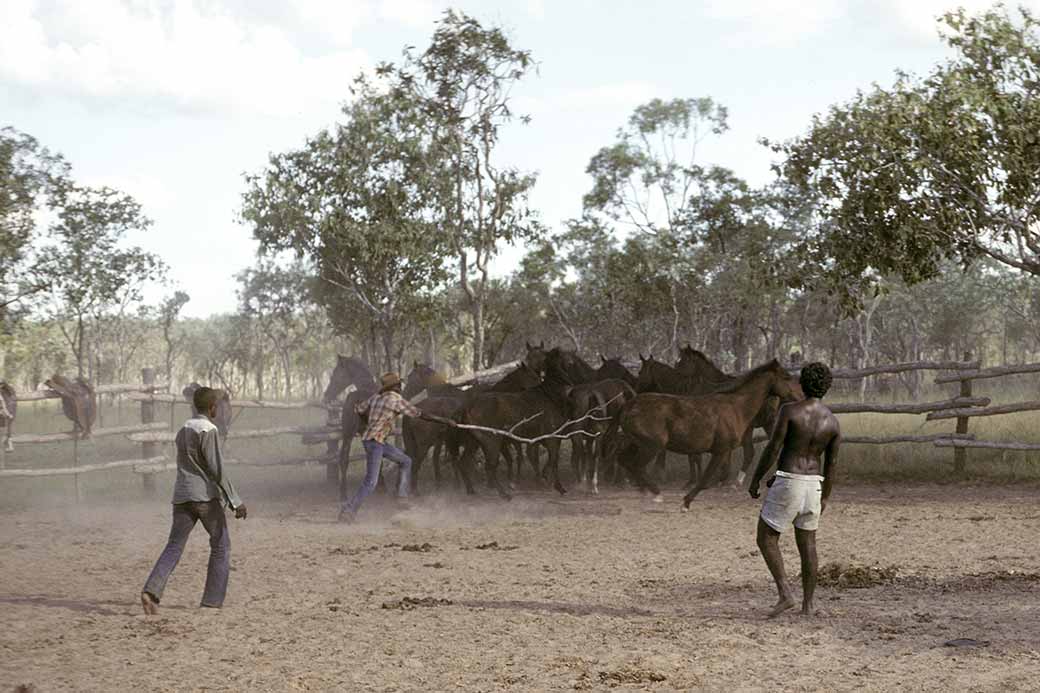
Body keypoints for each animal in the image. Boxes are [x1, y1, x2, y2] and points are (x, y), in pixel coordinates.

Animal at [615, 357, 802, 505]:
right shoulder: (720, 450)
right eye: (786, 377)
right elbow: (706, 478)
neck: (736, 407)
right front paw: (687, 500)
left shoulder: (722, 451)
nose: (800, 395)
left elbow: (710, 476)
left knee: (626, 460)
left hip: (638, 443)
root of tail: (629, 405)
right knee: (634, 464)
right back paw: (654, 493)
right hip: (650, 446)